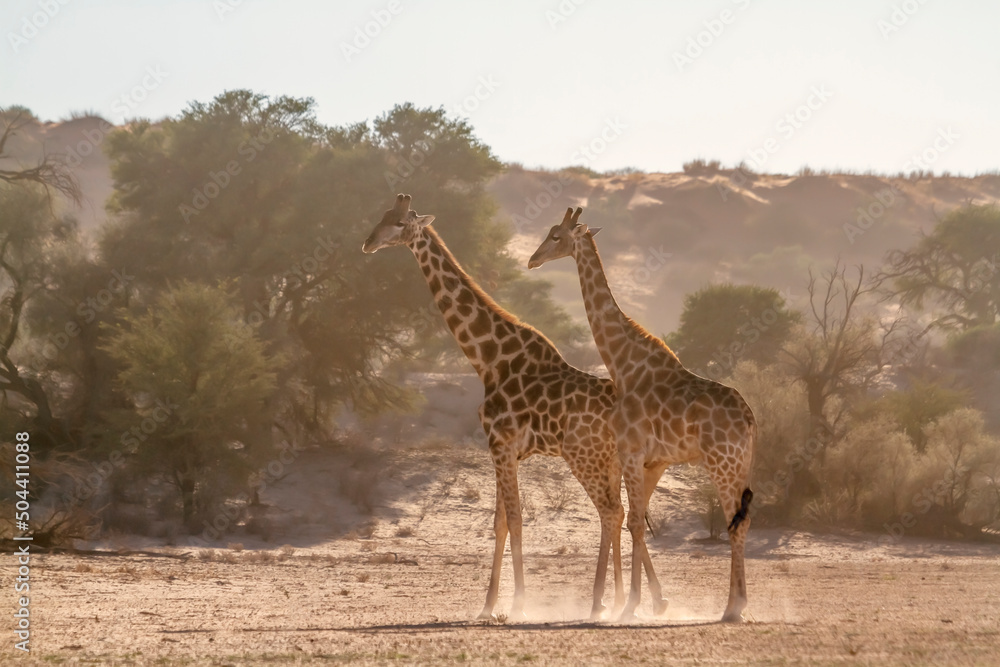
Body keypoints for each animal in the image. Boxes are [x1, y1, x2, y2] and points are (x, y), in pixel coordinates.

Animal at [362, 194, 625, 620]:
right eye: (382, 216)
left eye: (400, 223)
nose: (368, 243)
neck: (488, 359)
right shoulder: (504, 450)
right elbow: (500, 522)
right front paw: (488, 605)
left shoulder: (500, 443)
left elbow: (515, 520)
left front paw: (518, 604)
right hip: (611, 461)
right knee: (621, 513)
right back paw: (619, 601)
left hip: (584, 456)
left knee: (611, 513)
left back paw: (600, 603)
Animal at [528, 207, 756, 623]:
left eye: (555, 236)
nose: (532, 260)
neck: (623, 364)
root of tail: (750, 419)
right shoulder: (653, 461)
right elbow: (636, 520)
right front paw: (639, 602)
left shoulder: (632, 452)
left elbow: (633, 520)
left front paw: (631, 604)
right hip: (740, 466)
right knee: (741, 520)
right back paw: (735, 606)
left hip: (723, 464)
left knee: (735, 521)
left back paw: (733, 607)